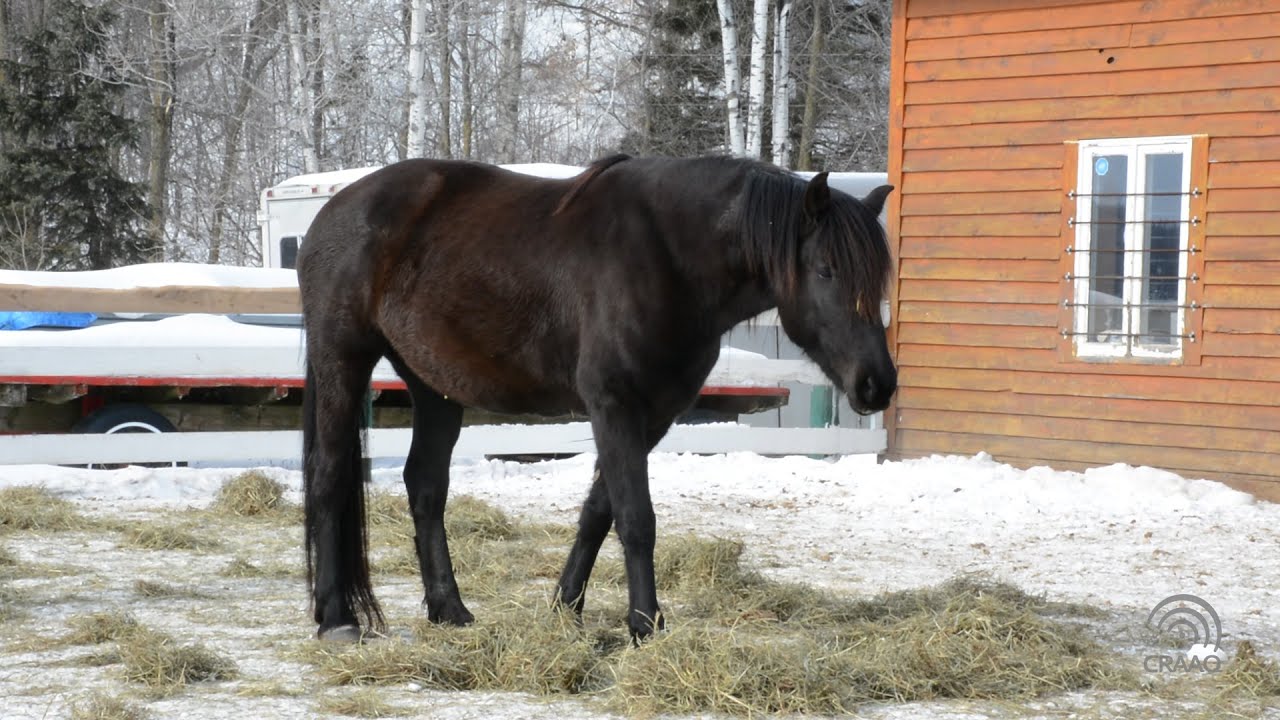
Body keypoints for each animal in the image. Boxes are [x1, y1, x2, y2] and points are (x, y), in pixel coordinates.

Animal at [296, 153, 897, 643]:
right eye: (825, 269)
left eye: (879, 279)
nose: (878, 383)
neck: (667, 257)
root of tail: (333, 212)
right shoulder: (615, 406)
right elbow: (636, 519)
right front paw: (645, 625)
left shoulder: (653, 415)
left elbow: (597, 512)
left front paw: (566, 607)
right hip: (342, 361)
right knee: (328, 476)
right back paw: (337, 618)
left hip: (433, 385)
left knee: (425, 486)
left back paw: (449, 609)